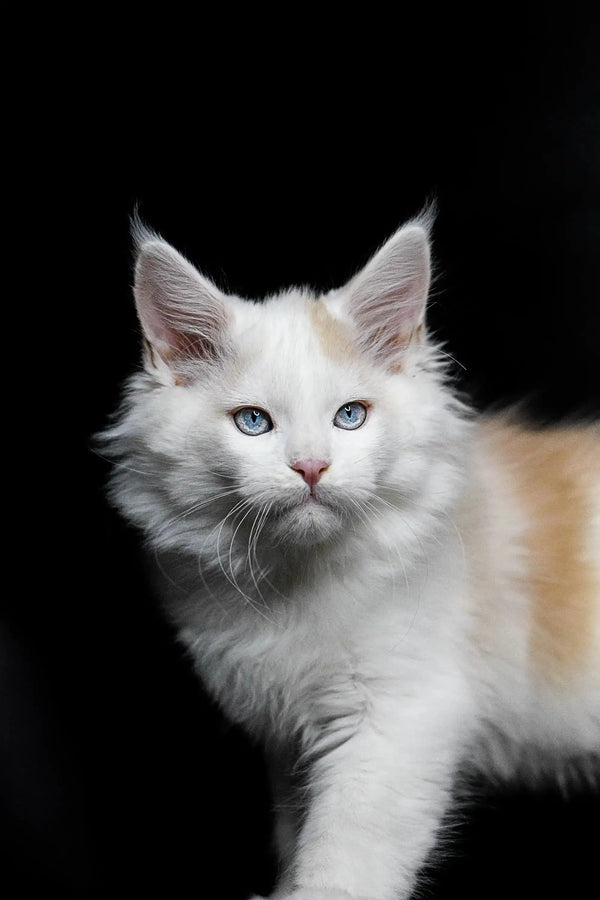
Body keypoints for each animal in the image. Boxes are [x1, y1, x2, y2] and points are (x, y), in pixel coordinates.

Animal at [99, 213, 600, 900]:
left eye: (350, 417)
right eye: (253, 422)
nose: (312, 467)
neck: (293, 581)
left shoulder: (398, 722)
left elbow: (343, 865)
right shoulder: (290, 739)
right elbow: (298, 841)